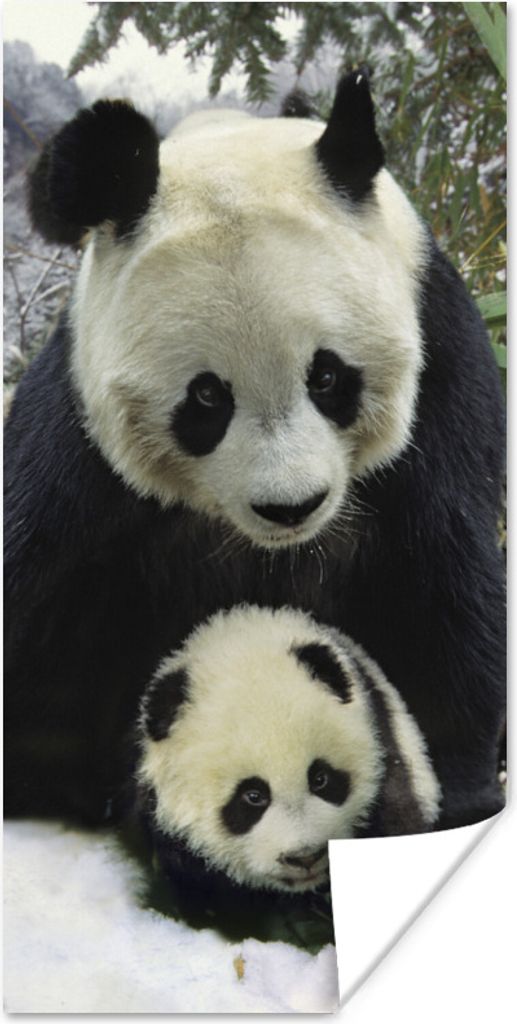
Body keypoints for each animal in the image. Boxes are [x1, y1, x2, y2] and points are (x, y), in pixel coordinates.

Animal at [4, 71, 505, 829]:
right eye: (207, 398)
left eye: (327, 377)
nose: (290, 506)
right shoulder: (79, 448)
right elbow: (40, 602)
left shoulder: (441, 385)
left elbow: (438, 585)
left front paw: (455, 794)